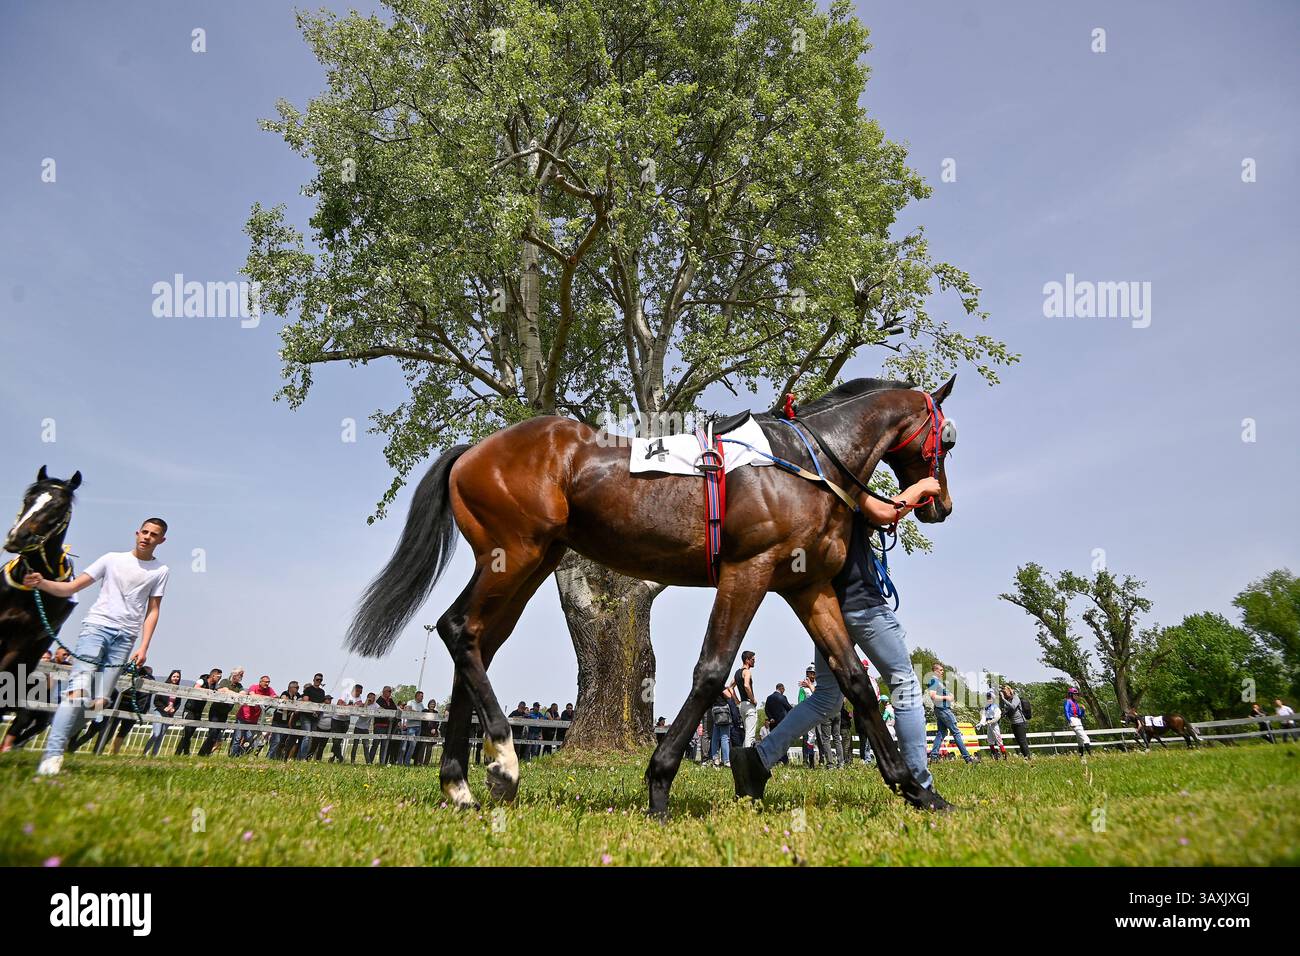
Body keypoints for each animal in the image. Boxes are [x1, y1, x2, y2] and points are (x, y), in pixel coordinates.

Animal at [348, 376, 957, 817]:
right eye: (946, 439)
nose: (940, 504)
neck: (804, 461)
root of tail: (474, 450)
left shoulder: (808, 588)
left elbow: (856, 681)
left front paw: (915, 789)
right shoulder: (748, 572)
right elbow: (711, 671)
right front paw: (659, 783)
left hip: (529, 565)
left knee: (475, 642)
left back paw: (459, 785)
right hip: (513, 556)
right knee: (457, 629)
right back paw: (502, 761)